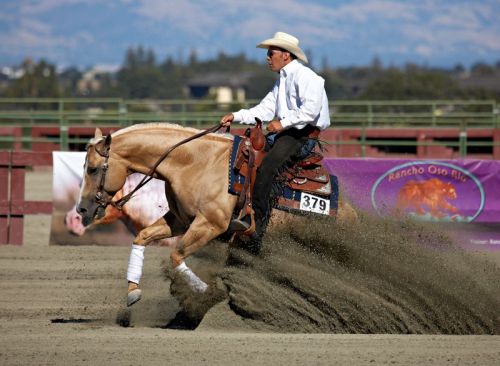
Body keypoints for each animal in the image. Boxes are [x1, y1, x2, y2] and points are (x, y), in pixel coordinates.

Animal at [78, 123, 358, 306]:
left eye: (93, 169)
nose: (81, 209)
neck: (194, 163)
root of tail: (349, 213)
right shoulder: (181, 221)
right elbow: (142, 237)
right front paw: (132, 291)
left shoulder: (209, 225)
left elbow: (177, 254)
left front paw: (203, 291)